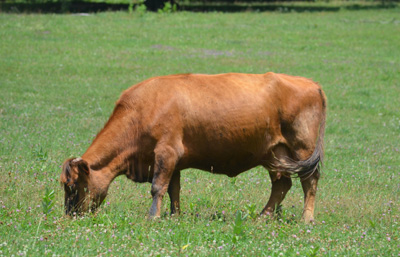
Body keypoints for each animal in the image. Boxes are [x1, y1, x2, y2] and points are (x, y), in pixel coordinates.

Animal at [61, 71, 326, 221]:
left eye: (72, 186)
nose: (69, 215)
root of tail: (311, 83)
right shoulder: (173, 161)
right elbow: (173, 189)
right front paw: (174, 215)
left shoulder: (165, 153)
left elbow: (158, 187)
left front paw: (153, 217)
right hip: (275, 154)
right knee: (282, 184)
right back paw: (263, 216)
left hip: (302, 149)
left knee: (309, 181)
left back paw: (307, 219)